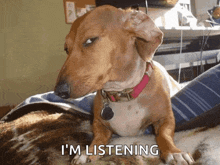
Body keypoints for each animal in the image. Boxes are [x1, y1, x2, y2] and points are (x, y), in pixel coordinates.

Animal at [54, 4, 194, 164]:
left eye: (90, 40)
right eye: (66, 49)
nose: (58, 91)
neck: (122, 93)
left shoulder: (165, 118)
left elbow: (164, 134)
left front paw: (173, 152)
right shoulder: (98, 123)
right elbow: (98, 138)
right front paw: (88, 152)